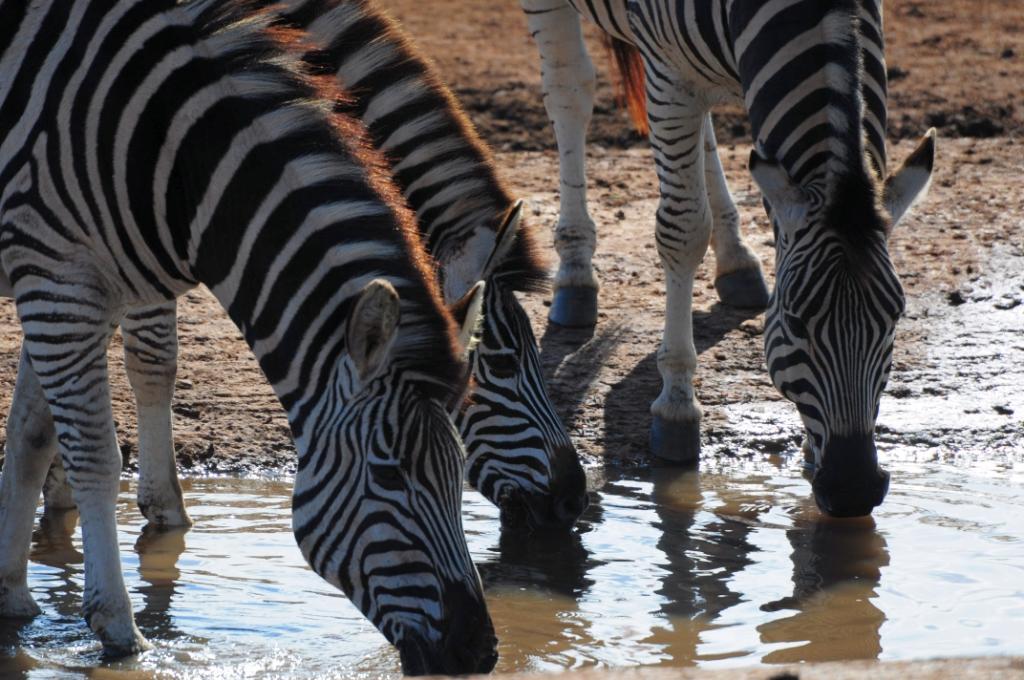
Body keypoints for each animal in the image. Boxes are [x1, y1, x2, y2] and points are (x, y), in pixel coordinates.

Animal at [0, 0, 499, 672]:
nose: (480, 652)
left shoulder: (79, 287)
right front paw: (119, 627)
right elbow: (95, 456)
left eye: (460, 470)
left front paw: (12, 595)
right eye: (391, 477)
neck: (174, 158)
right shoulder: (58, 279)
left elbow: (31, 436)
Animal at [518, 0, 935, 516]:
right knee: (570, 87)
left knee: (703, 129)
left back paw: (736, 260)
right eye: (794, 321)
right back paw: (575, 274)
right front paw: (677, 405)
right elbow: (682, 231)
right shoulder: (668, 72)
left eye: (894, 318)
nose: (853, 490)